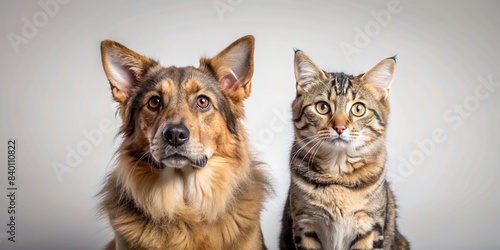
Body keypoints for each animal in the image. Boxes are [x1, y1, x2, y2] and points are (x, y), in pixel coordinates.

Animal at [280, 50, 408, 250]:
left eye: (358, 109)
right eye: (322, 107)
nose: (339, 127)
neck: (337, 174)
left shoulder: (370, 227)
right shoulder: (304, 225)